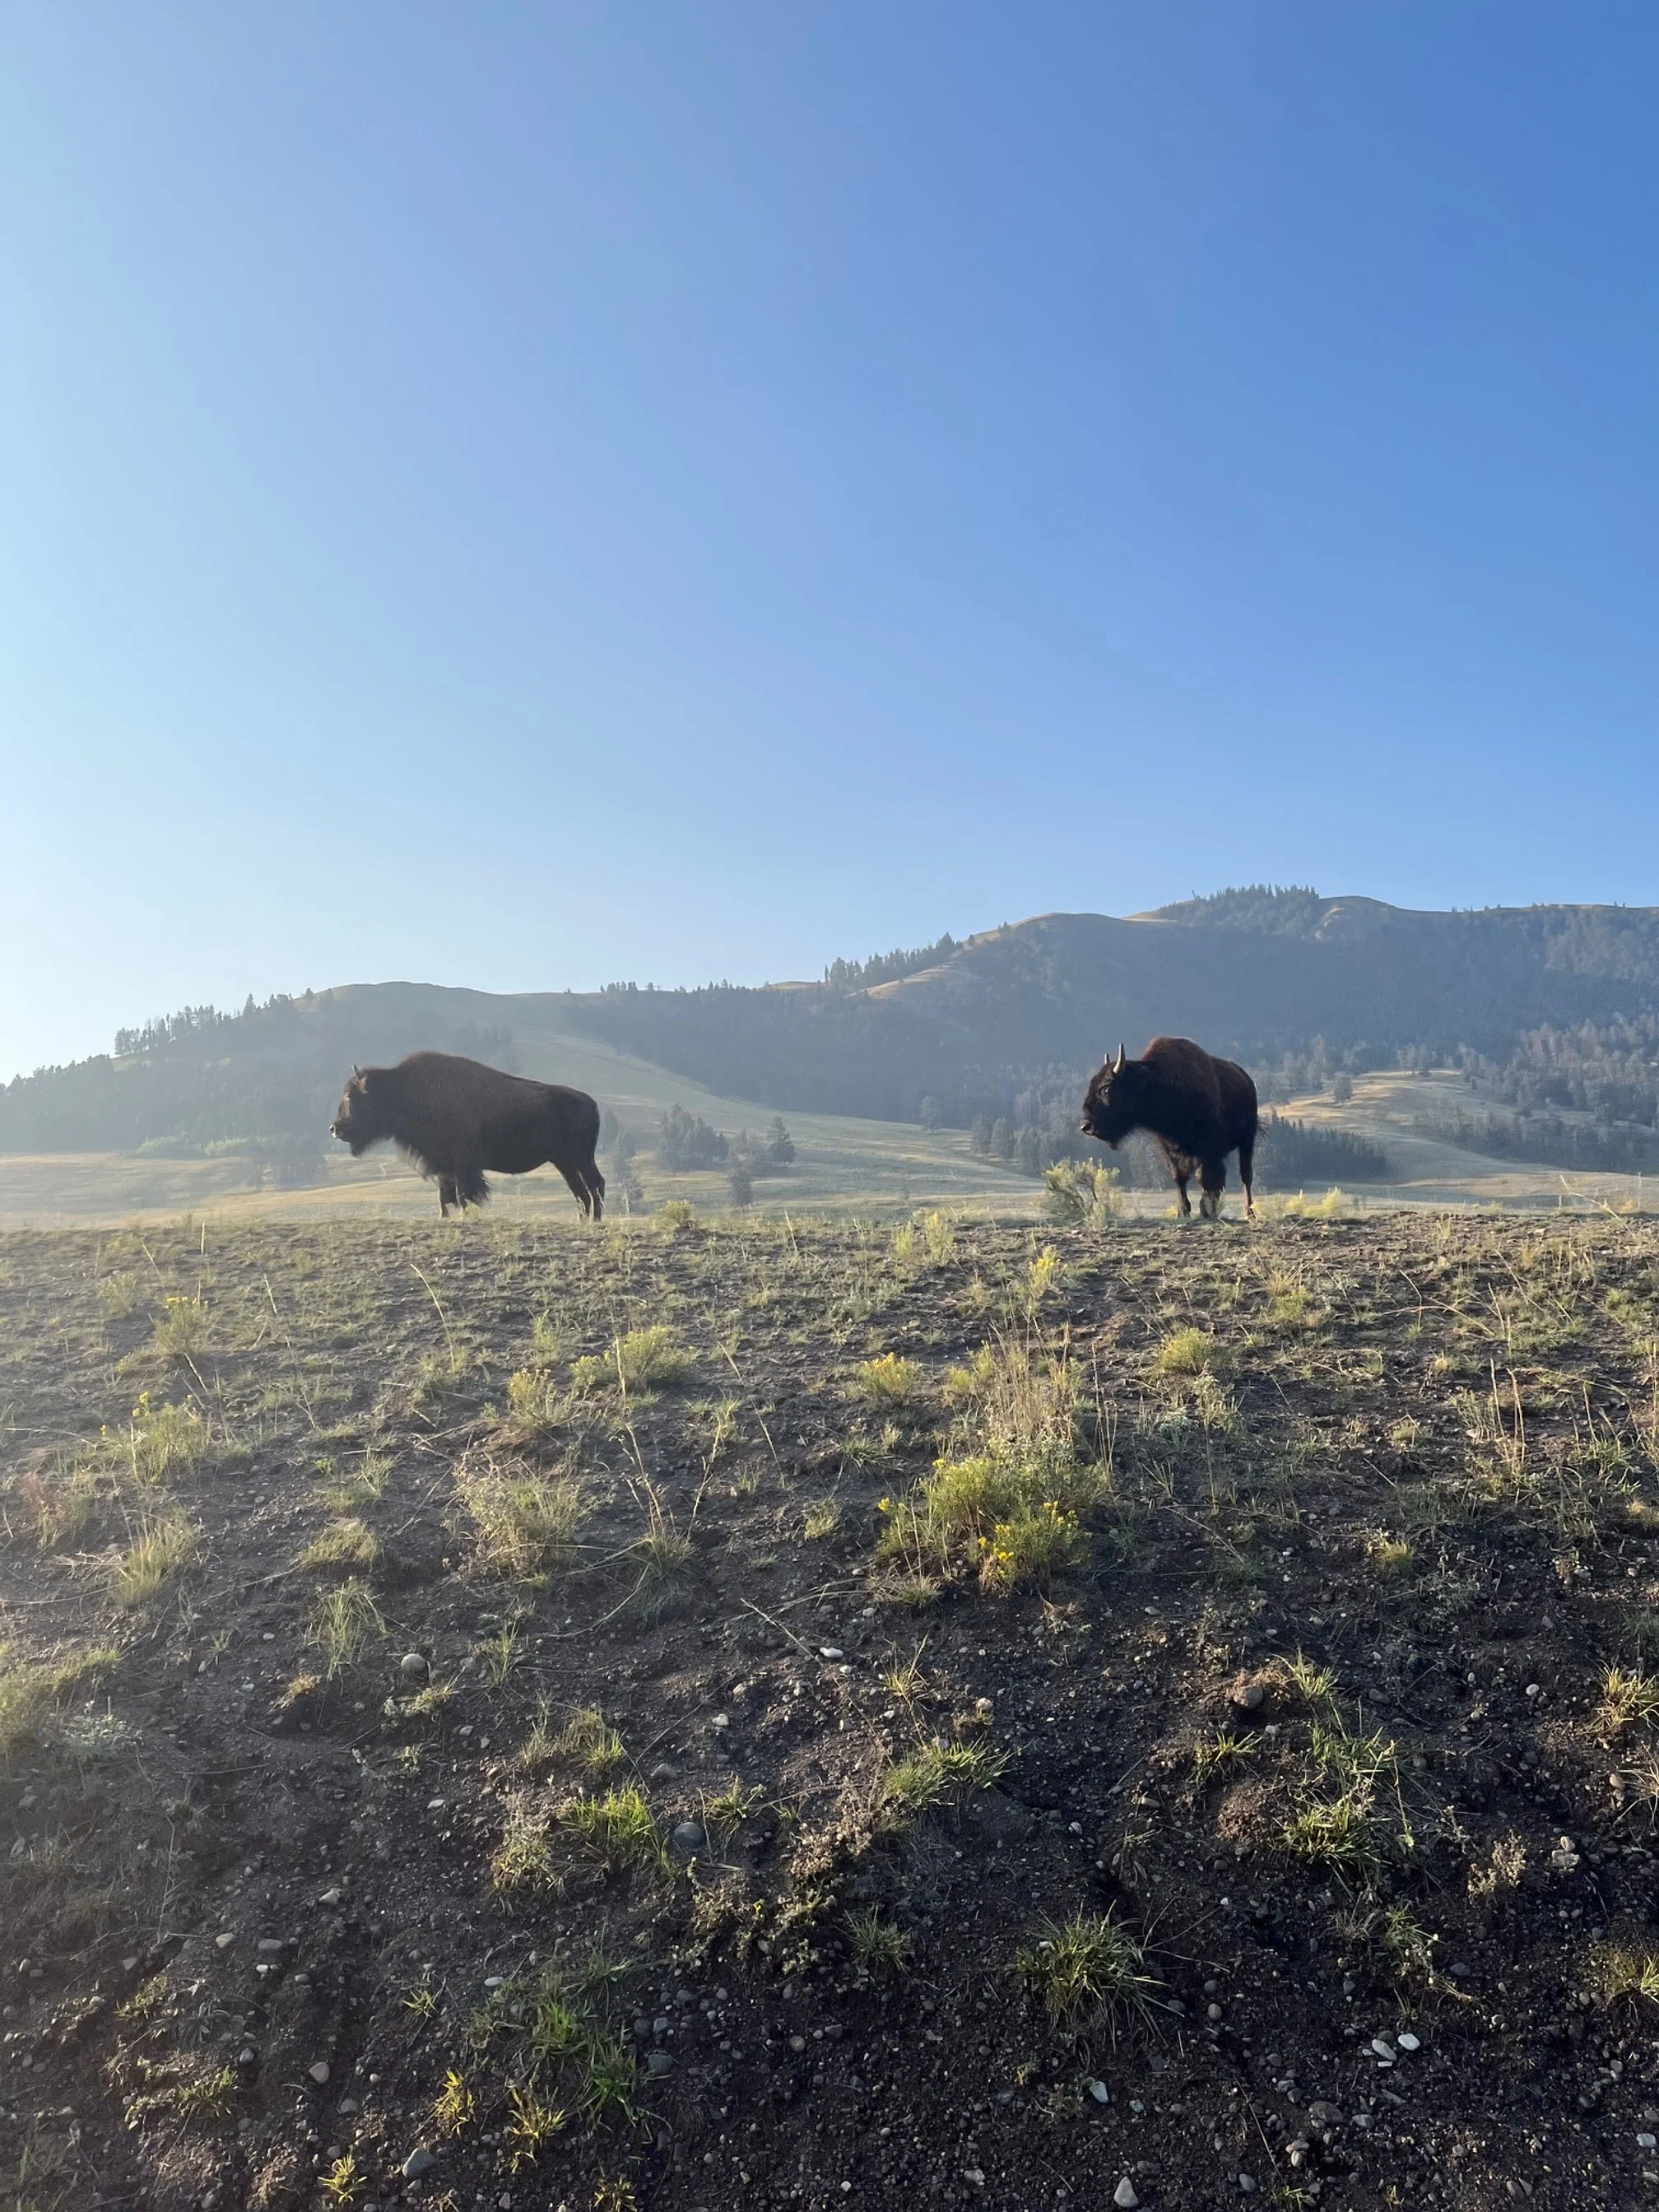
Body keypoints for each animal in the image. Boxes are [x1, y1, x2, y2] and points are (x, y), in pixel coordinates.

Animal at [331, 1052, 605, 1219]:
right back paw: (582, 1221)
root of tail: (590, 1102)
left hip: (580, 1157)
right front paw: (444, 1217)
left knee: (595, 1184)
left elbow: (463, 1194)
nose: (335, 1129)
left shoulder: (463, 1163)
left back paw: (595, 1221)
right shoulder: (442, 1164)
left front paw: (463, 1216)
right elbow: (445, 1194)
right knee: (580, 1191)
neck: (404, 1091)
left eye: (350, 1096)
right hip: (563, 1161)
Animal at [1081, 1035, 1258, 1219]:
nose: (1086, 1125)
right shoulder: (1169, 1149)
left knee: (1246, 1176)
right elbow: (1179, 1177)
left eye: (1107, 1088)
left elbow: (1204, 1177)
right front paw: (1183, 1211)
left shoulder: (1208, 1149)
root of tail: (1247, 1080)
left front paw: (1205, 1209)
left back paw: (1250, 1212)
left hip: (1247, 1140)